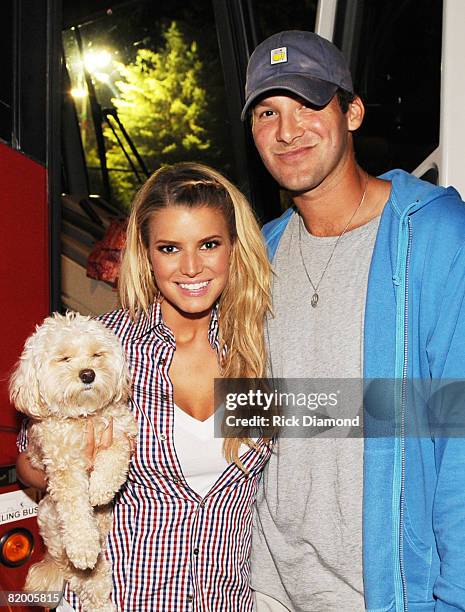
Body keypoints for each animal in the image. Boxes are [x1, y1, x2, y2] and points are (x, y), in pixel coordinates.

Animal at [10, 314, 137, 612]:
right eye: (64, 358)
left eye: (96, 354)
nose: (88, 374)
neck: (83, 416)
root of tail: (53, 558)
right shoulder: (63, 467)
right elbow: (76, 508)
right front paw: (83, 546)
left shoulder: (119, 433)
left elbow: (113, 461)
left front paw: (100, 489)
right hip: (53, 523)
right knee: (81, 578)